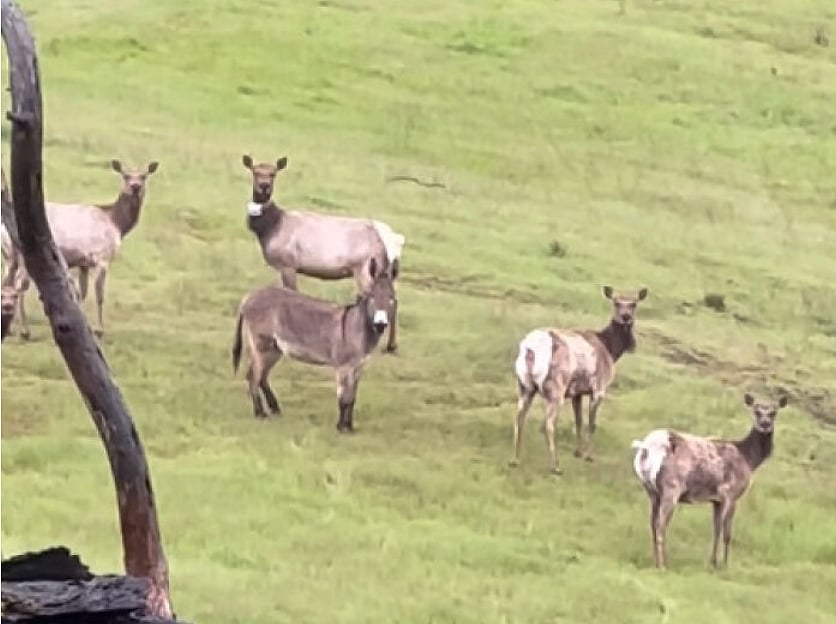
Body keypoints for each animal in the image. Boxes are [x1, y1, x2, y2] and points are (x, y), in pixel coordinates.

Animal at [3, 160, 158, 337]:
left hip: (10, 255)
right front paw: (99, 330)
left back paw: (9, 328)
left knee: (7, 281)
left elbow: (82, 294)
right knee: (19, 285)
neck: (116, 223)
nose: (135, 186)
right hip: (25, 254)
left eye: (144, 176)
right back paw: (25, 330)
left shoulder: (84, 262)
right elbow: (99, 295)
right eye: (125, 176)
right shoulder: (102, 257)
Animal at [231, 256, 398, 432]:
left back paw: (274, 409)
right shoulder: (343, 367)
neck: (359, 327)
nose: (380, 324)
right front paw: (341, 428)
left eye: (392, 299)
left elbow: (352, 398)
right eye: (372, 297)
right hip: (262, 346)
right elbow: (344, 398)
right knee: (253, 376)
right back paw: (260, 414)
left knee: (261, 377)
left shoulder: (359, 367)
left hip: (274, 349)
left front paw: (349, 427)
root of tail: (248, 297)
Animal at [241, 154, 405, 353]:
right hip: (383, 269)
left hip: (365, 268)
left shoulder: (288, 264)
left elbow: (293, 292)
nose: (264, 186)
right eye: (255, 171)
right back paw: (391, 343)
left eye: (273, 173)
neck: (270, 228)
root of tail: (394, 240)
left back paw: (389, 343)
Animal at [510, 285, 649, 474]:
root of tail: (530, 348)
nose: (625, 317)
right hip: (556, 388)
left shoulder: (577, 392)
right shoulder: (598, 388)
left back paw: (515, 459)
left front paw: (578, 452)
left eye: (634, 304)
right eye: (616, 302)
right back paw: (556, 466)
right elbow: (592, 423)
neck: (611, 350)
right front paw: (589, 456)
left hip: (524, 385)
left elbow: (578, 421)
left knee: (519, 417)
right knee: (548, 424)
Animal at [631, 393, 789, 570]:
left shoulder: (716, 500)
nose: (765, 424)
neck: (749, 459)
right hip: (671, 487)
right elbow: (727, 533)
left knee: (652, 524)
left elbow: (716, 530)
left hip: (651, 491)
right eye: (756, 411)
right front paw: (725, 565)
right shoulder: (731, 493)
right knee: (660, 526)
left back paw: (655, 561)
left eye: (774, 412)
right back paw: (663, 565)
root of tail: (646, 446)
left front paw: (713, 563)